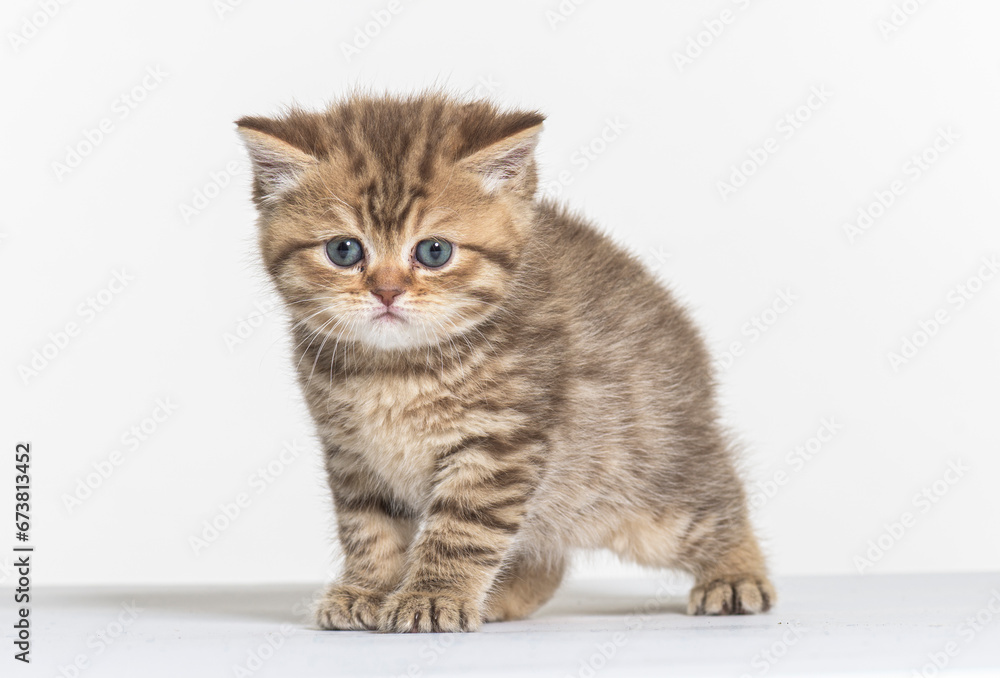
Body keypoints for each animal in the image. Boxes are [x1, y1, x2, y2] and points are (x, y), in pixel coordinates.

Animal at [238, 93, 776, 636]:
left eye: (434, 251)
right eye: (343, 249)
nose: (387, 292)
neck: (395, 369)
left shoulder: (499, 444)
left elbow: (461, 528)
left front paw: (432, 595)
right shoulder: (352, 453)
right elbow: (368, 526)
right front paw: (366, 589)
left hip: (650, 484)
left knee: (718, 503)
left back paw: (735, 577)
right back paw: (499, 596)